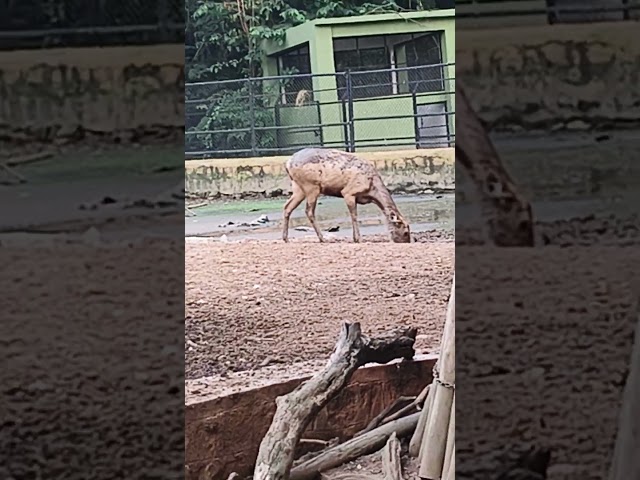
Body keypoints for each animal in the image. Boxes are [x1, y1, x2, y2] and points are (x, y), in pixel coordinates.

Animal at [282, 147, 412, 244]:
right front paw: (358, 238)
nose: (407, 242)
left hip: (298, 188)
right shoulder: (349, 192)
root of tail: (288, 163)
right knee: (309, 211)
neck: (371, 189)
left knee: (287, 206)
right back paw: (322, 238)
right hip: (311, 186)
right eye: (406, 231)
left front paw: (356, 238)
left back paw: (286, 238)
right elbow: (354, 215)